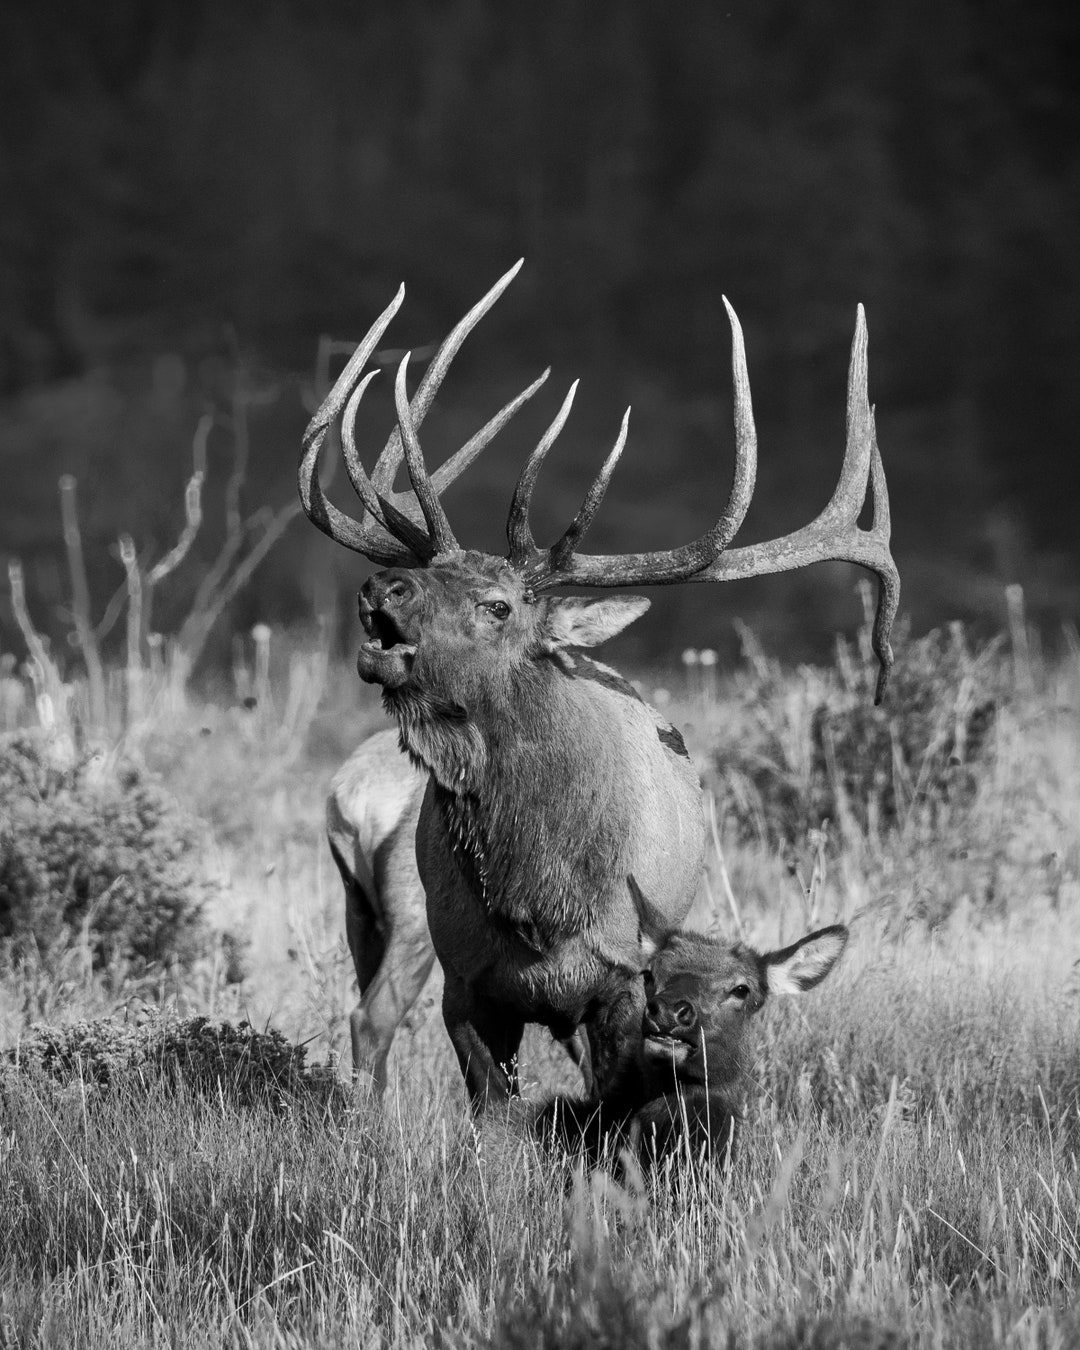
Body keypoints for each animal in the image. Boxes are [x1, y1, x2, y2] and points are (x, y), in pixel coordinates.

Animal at [298, 259, 898, 1115]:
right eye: (429, 571)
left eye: (499, 604)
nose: (384, 587)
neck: (541, 900)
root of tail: (353, 795)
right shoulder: (468, 982)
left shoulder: (617, 982)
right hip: (398, 920)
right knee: (369, 1016)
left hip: (368, 916)